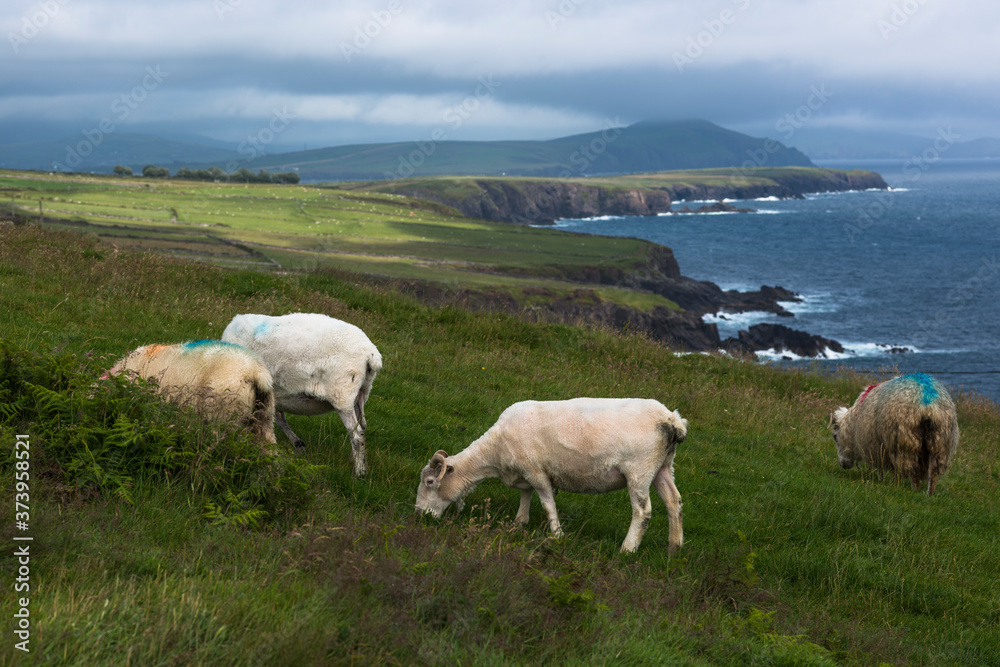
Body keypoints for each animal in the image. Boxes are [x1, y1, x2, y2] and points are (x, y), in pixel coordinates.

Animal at [223, 310, 382, 478]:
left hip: (343, 395)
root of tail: (371, 354)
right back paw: (355, 459)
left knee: (357, 435)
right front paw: (298, 445)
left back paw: (360, 472)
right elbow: (279, 418)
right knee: (362, 427)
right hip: (361, 393)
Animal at [414, 400, 688, 556]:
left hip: (639, 469)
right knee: (674, 502)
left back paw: (627, 549)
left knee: (643, 512)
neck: (494, 450)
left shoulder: (537, 471)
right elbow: (525, 495)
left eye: (430, 482)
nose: (419, 514)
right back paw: (674, 547)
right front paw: (520, 522)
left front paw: (557, 535)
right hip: (662, 466)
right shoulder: (524, 471)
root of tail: (672, 420)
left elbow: (547, 504)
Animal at [828, 376, 960, 496]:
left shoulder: (875, 446)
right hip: (940, 440)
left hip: (904, 441)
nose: (843, 465)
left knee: (914, 468)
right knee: (933, 471)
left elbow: (881, 468)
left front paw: (883, 482)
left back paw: (914, 489)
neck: (853, 425)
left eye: (835, 437)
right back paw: (929, 493)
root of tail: (928, 402)